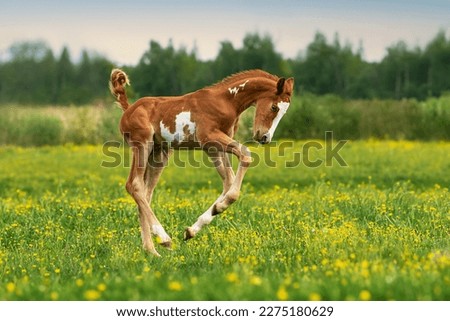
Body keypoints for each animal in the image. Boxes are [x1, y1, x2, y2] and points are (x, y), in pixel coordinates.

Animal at [108, 68, 292, 255]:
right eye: (274, 107)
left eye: (285, 111)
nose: (265, 137)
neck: (226, 101)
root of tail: (128, 109)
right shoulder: (209, 138)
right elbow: (245, 156)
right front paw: (220, 206)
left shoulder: (214, 147)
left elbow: (229, 181)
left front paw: (194, 228)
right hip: (142, 145)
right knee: (134, 185)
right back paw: (164, 238)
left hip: (159, 153)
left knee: (146, 193)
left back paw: (152, 251)